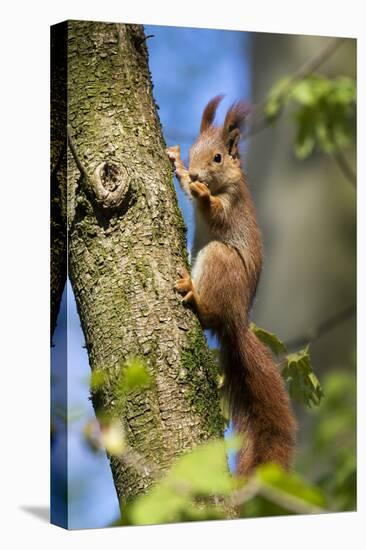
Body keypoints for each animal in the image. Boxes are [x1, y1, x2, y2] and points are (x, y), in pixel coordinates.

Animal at [167, 95, 296, 474]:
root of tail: (237, 319)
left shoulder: (233, 202)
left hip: (219, 260)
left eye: (218, 158)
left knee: (209, 313)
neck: (223, 184)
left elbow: (216, 210)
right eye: (194, 150)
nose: (197, 173)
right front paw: (178, 165)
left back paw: (195, 296)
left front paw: (200, 192)